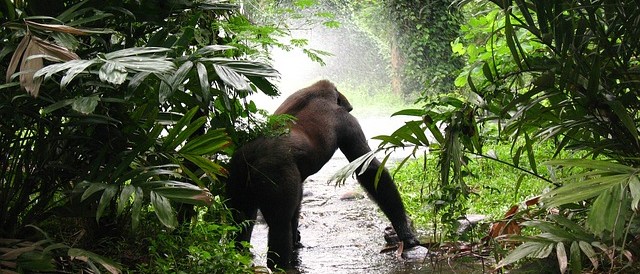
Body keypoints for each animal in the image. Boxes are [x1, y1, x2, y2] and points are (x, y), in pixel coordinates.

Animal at [225, 80, 420, 268]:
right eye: (349, 109)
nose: (350, 107)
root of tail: (252, 156)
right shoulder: (347, 121)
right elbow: (370, 170)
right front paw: (404, 232)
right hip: (272, 172)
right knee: (279, 225)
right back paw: (281, 265)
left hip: (235, 172)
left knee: (241, 219)